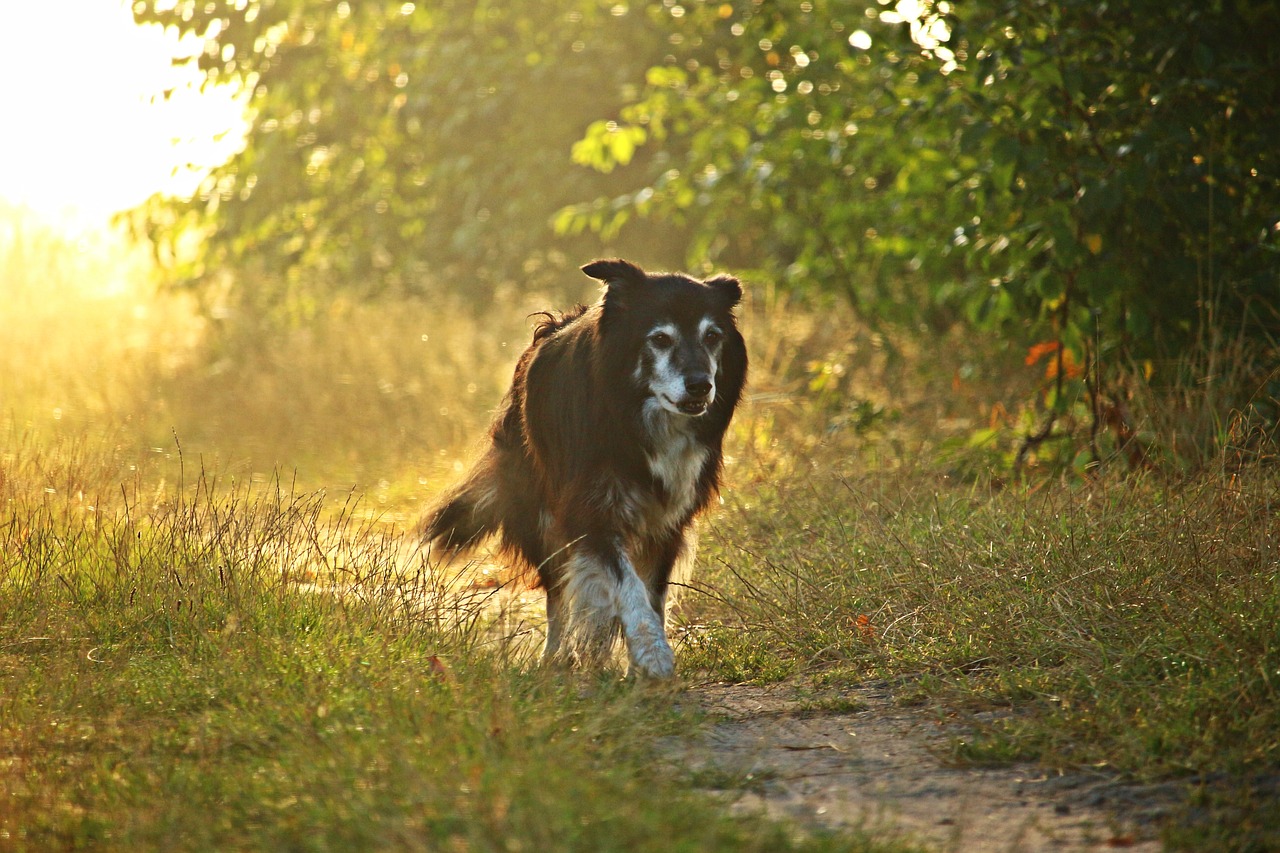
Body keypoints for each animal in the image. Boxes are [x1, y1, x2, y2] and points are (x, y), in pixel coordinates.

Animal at [414, 256, 747, 676]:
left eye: (712, 336)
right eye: (659, 339)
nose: (701, 385)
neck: (636, 418)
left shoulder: (667, 519)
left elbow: (650, 593)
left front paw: (638, 661)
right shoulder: (590, 510)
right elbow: (626, 586)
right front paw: (651, 654)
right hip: (540, 515)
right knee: (557, 592)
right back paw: (558, 655)